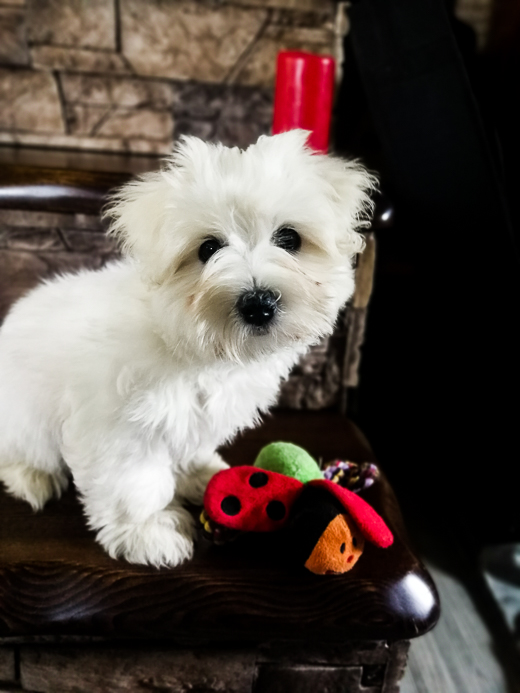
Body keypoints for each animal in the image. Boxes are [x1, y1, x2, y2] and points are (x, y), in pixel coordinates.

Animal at [0, 131, 374, 568]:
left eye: (289, 239)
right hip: (24, 418)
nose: (259, 303)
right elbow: (135, 483)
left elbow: (192, 441)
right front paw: (147, 531)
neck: (195, 346)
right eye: (207, 248)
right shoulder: (118, 427)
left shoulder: (195, 411)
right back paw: (33, 476)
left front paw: (198, 473)